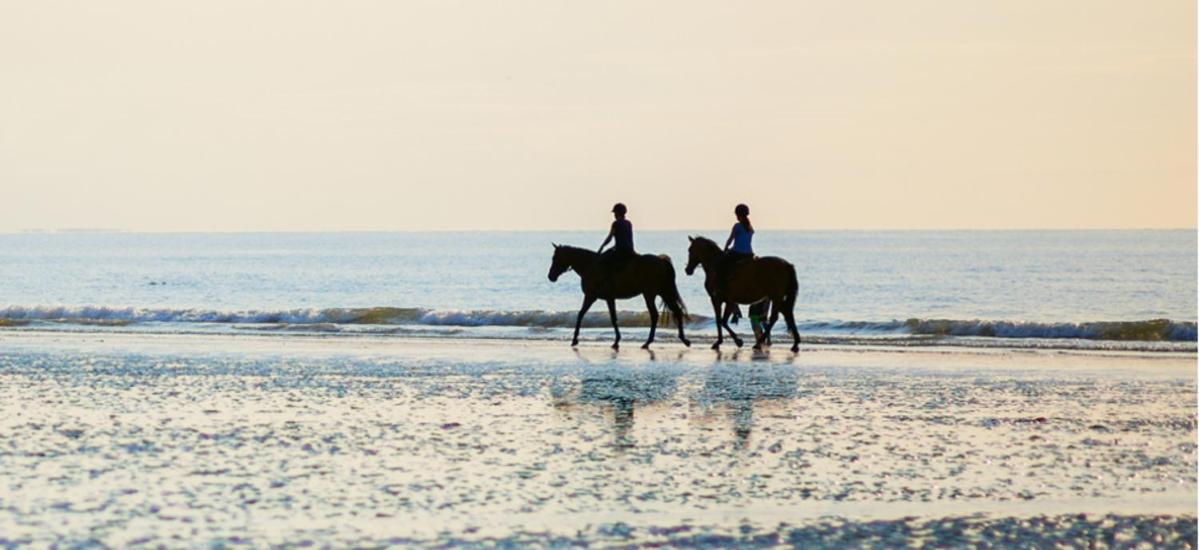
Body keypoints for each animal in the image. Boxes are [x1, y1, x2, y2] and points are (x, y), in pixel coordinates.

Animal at [546, 244, 690, 349]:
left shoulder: (591, 296)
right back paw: (683, 339)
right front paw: (616, 340)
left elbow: (584, 315)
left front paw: (575, 339)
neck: (590, 266)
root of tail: (661, 260)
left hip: (650, 294)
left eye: (555, 258)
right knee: (676, 311)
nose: (550, 276)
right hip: (663, 292)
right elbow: (608, 317)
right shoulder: (607, 298)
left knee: (655, 315)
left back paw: (648, 342)